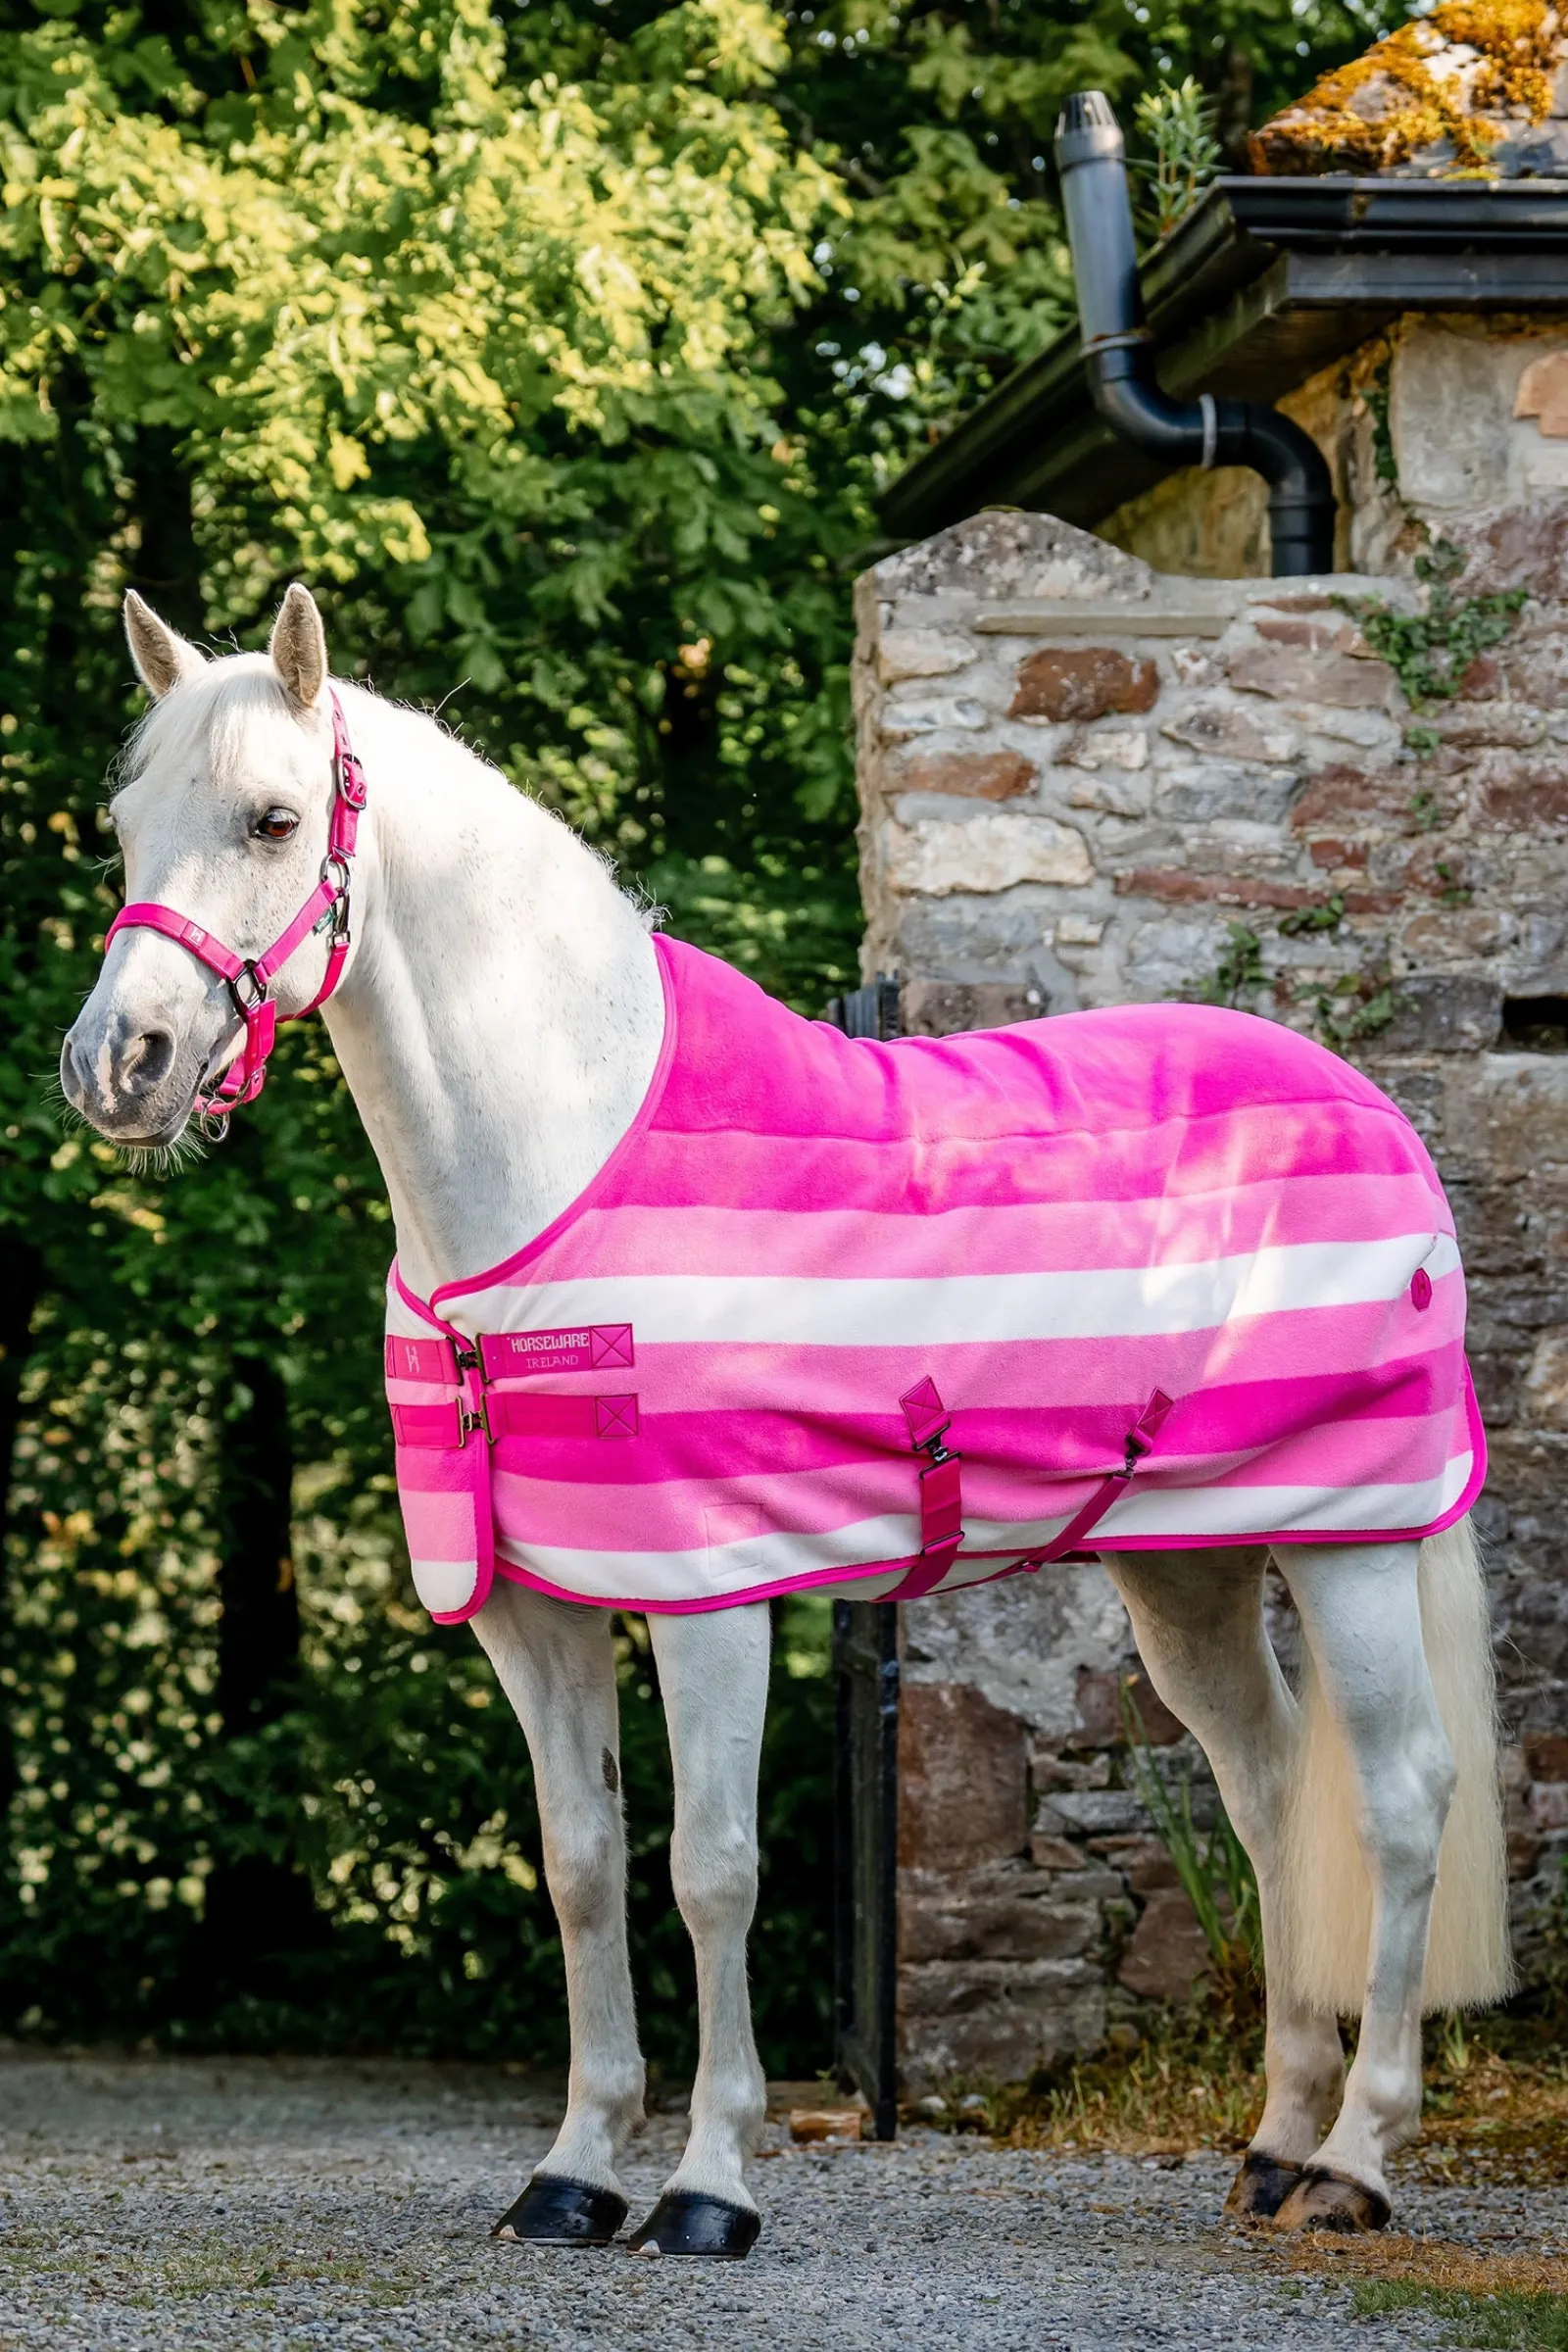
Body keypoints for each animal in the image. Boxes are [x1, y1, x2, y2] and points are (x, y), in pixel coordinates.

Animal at [60, 583, 1512, 2254]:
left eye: (274, 818)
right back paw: (1273, 2144)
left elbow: (713, 1871)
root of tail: (1372, 1106)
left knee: (1398, 1801)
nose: (115, 1066)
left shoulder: (712, 1597)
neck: (556, 1164)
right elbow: (580, 1865)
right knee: (1269, 1789)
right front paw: (572, 2174)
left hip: (1352, 1540)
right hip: (1190, 1565)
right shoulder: (533, 1612)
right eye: (124, 825)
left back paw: (1354, 2162)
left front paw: (708, 2186)